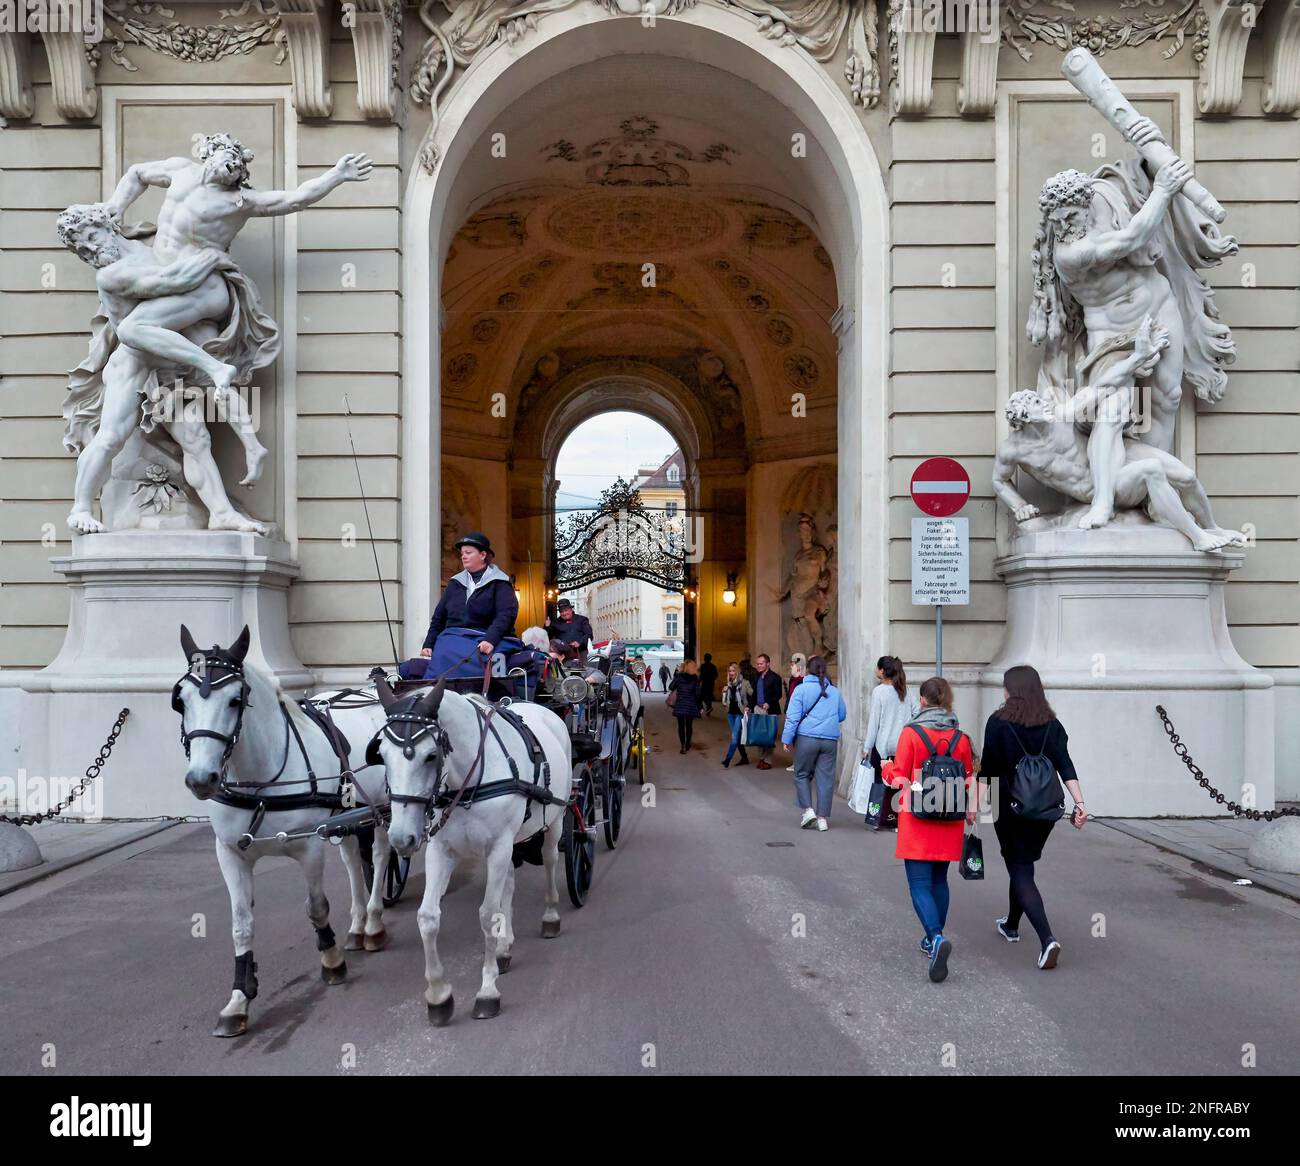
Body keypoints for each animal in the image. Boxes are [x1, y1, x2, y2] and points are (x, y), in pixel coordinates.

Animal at [175, 623, 392, 1034]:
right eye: (181, 699)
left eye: (235, 699)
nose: (200, 779)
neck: (260, 779)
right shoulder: (230, 853)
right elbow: (241, 924)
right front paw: (238, 999)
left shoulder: (310, 847)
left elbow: (317, 908)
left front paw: (332, 961)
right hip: (346, 814)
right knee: (353, 861)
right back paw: (357, 926)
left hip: (387, 810)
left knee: (381, 854)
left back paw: (372, 924)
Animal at [369, 675, 566, 1019]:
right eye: (381, 754)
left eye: (430, 755)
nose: (401, 839)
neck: (468, 783)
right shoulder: (441, 849)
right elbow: (428, 917)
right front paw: (438, 994)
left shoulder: (498, 847)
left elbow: (487, 914)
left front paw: (487, 991)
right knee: (509, 884)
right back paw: (503, 947)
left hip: (554, 821)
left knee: (550, 859)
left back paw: (551, 916)